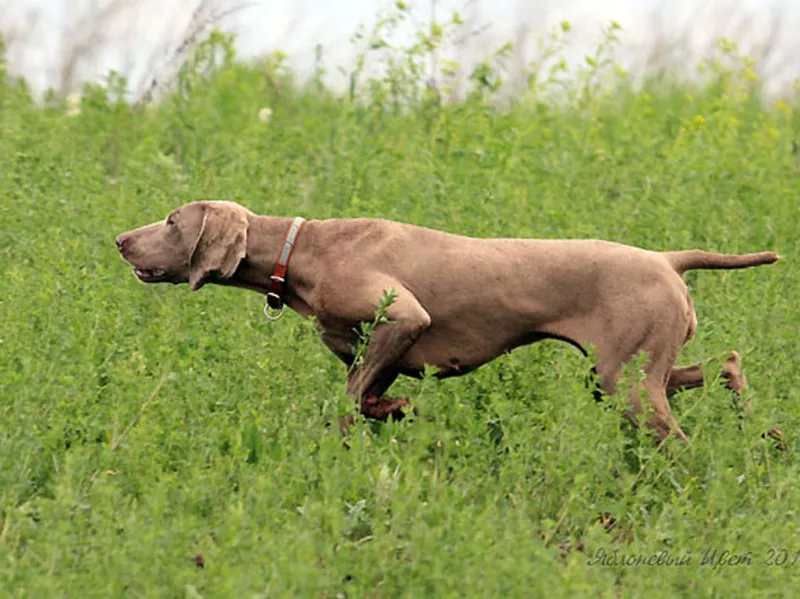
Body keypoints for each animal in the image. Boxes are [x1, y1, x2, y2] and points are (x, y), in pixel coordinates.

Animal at [115, 204, 780, 442]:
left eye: (172, 221)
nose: (120, 239)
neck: (301, 251)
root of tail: (666, 259)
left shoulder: (402, 316)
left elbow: (350, 402)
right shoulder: (370, 347)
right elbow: (367, 394)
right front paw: (396, 409)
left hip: (627, 384)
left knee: (679, 439)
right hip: (634, 371)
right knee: (726, 364)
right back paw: (762, 431)